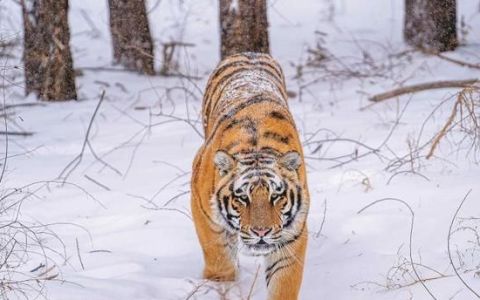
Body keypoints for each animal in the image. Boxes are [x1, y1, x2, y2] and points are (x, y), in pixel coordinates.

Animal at [189, 52, 310, 300]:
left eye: (276, 196)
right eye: (242, 197)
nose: (261, 232)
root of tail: (249, 53)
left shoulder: (292, 234)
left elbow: (283, 284)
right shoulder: (203, 210)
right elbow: (218, 255)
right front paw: (219, 283)